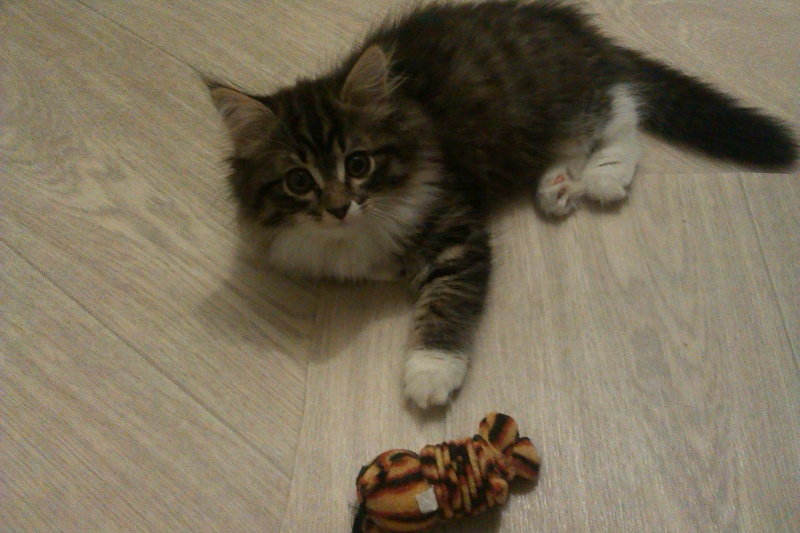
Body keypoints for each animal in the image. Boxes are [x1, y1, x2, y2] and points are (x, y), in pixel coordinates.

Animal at [207, 0, 797, 409]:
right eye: (298, 181)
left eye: (358, 163)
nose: (337, 207)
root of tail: (574, 26)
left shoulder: (455, 224)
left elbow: (448, 299)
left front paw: (430, 370)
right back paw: (556, 185)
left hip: (559, 96)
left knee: (624, 108)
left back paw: (603, 173)